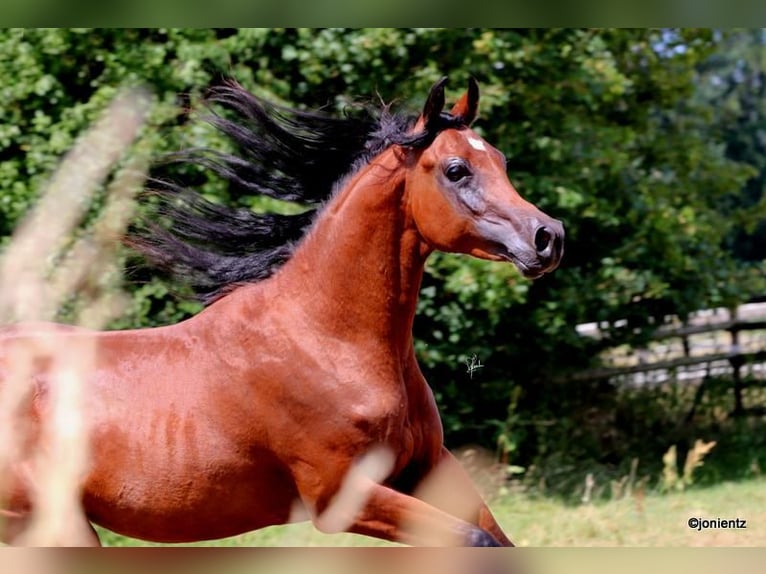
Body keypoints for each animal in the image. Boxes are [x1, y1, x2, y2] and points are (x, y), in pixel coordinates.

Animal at [0, 77, 563, 546]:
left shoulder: (427, 470)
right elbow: (477, 541)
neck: (326, 338)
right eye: (456, 170)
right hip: (51, 526)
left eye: (500, 160)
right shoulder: (340, 497)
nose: (548, 237)